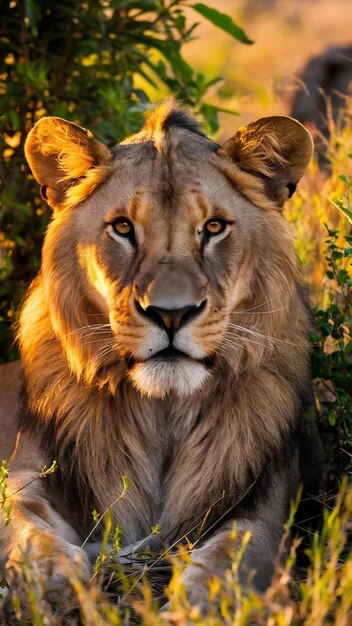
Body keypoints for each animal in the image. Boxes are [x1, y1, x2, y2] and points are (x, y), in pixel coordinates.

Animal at [0, 102, 314, 608]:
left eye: (213, 227)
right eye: (123, 227)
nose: (171, 313)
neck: (162, 414)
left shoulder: (264, 505)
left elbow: (232, 555)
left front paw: (197, 603)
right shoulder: (27, 472)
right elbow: (23, 525)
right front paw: (54, 579)